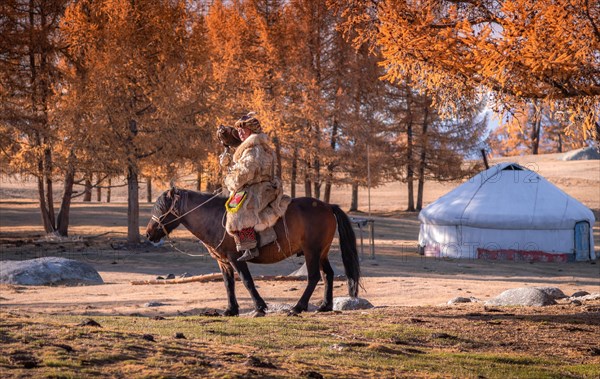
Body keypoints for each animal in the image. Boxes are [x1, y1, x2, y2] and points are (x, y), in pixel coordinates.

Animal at [144, 188, 360, 318]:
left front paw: (260, 307)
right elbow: (228, 284)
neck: (215, 219)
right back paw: (325, 306)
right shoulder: (223, 261)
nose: (148, 234)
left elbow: (246, 281)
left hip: (312, 251)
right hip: (321, 252)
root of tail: (328, 206)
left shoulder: (236, 258)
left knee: (314, 277)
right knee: (328, 274)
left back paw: (297, 307)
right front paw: (230, 310)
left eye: (162, 208)